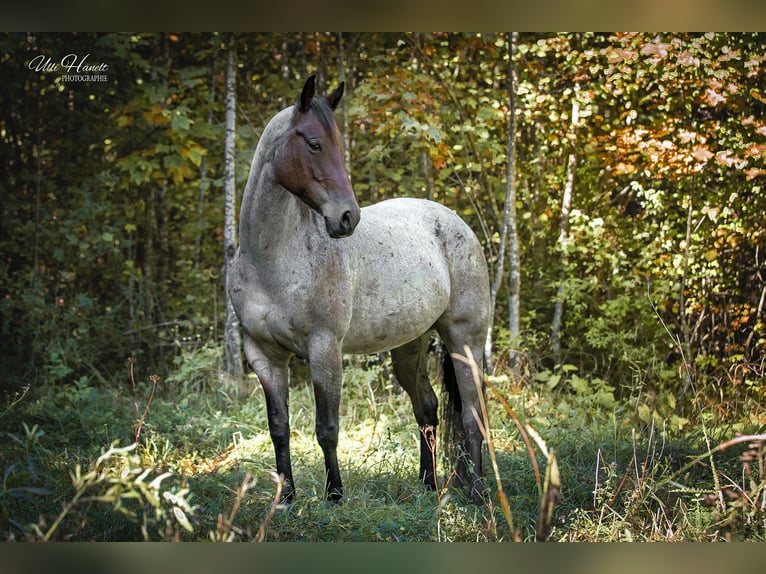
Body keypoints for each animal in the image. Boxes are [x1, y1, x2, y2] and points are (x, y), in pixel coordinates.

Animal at [229, 74, 491, 504]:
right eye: (314, 143)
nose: (347, 217)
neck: (272, 260)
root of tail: (455, 221)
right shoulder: (264, 355)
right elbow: (279, 427)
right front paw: (285, 499)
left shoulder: (324, 348)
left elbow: (327, 428)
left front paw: (334, 497)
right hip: (410, 346)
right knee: (427, 408)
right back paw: (429, 486)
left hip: (465, 339)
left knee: (472, 415)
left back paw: (479, 493)